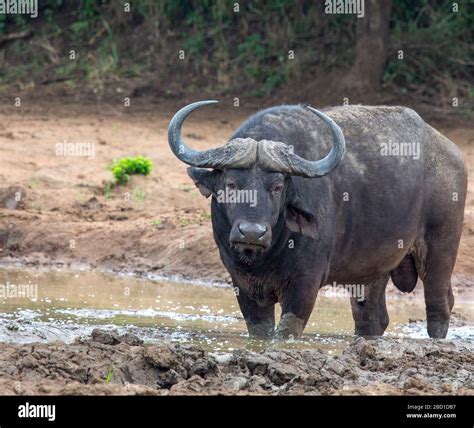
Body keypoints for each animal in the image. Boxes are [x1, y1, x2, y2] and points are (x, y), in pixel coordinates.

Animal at [167, 101, 466, 342]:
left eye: (277, 187)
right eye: (231, 184)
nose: (252, 232)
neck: (266, 255)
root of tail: (452, 154)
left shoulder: (305, 283)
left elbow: (288, 329)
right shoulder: (242, 284)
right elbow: (260, 331)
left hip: (440, 251)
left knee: (440, 304)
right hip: (373, 270)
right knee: (372, 317)